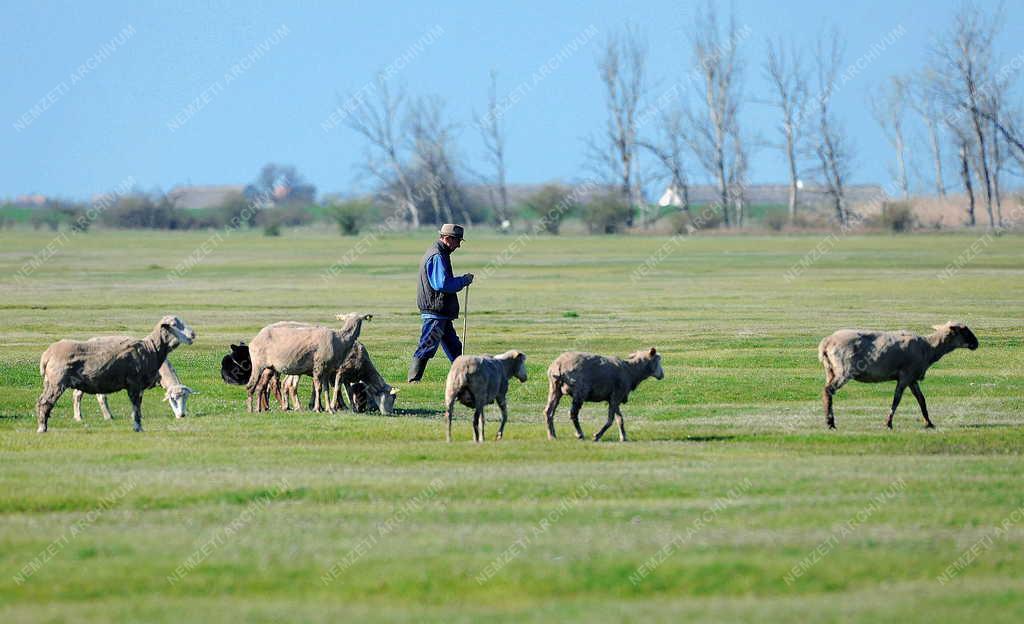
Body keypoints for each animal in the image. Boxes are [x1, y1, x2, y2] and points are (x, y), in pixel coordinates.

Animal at [37, 313, 195, 430]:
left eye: (186, 398)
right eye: (174, 325)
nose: (193, 334)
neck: (150, 348)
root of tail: (47, 354)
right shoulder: (135, 383)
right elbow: (137, 405)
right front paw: (138, 424)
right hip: (59, 382)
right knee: (48, 402)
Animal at [243, 313, 372, 411]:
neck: (341, 339)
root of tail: (255, 339)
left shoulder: (327, 370)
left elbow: (326, 389)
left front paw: (329, 409)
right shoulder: (319, 367)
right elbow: (319, 388)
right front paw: (318, 408)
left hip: (269, 367)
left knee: (261, 386)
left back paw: (260, 409)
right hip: (258, 365)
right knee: (251, 386)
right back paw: (251, 410)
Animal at [819, 321, 978, 428]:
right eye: (964, 331)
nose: (977, 343)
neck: (929, 348)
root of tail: (826, 343)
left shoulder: (912, 378)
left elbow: (922, 400)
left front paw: (929, 423)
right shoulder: (905, 376)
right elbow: (896, 400)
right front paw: (888, 423)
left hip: (830, 370)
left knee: (827, 391)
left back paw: (829, 421)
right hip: (844, 370)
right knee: (828, 390)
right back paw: (830, 423)